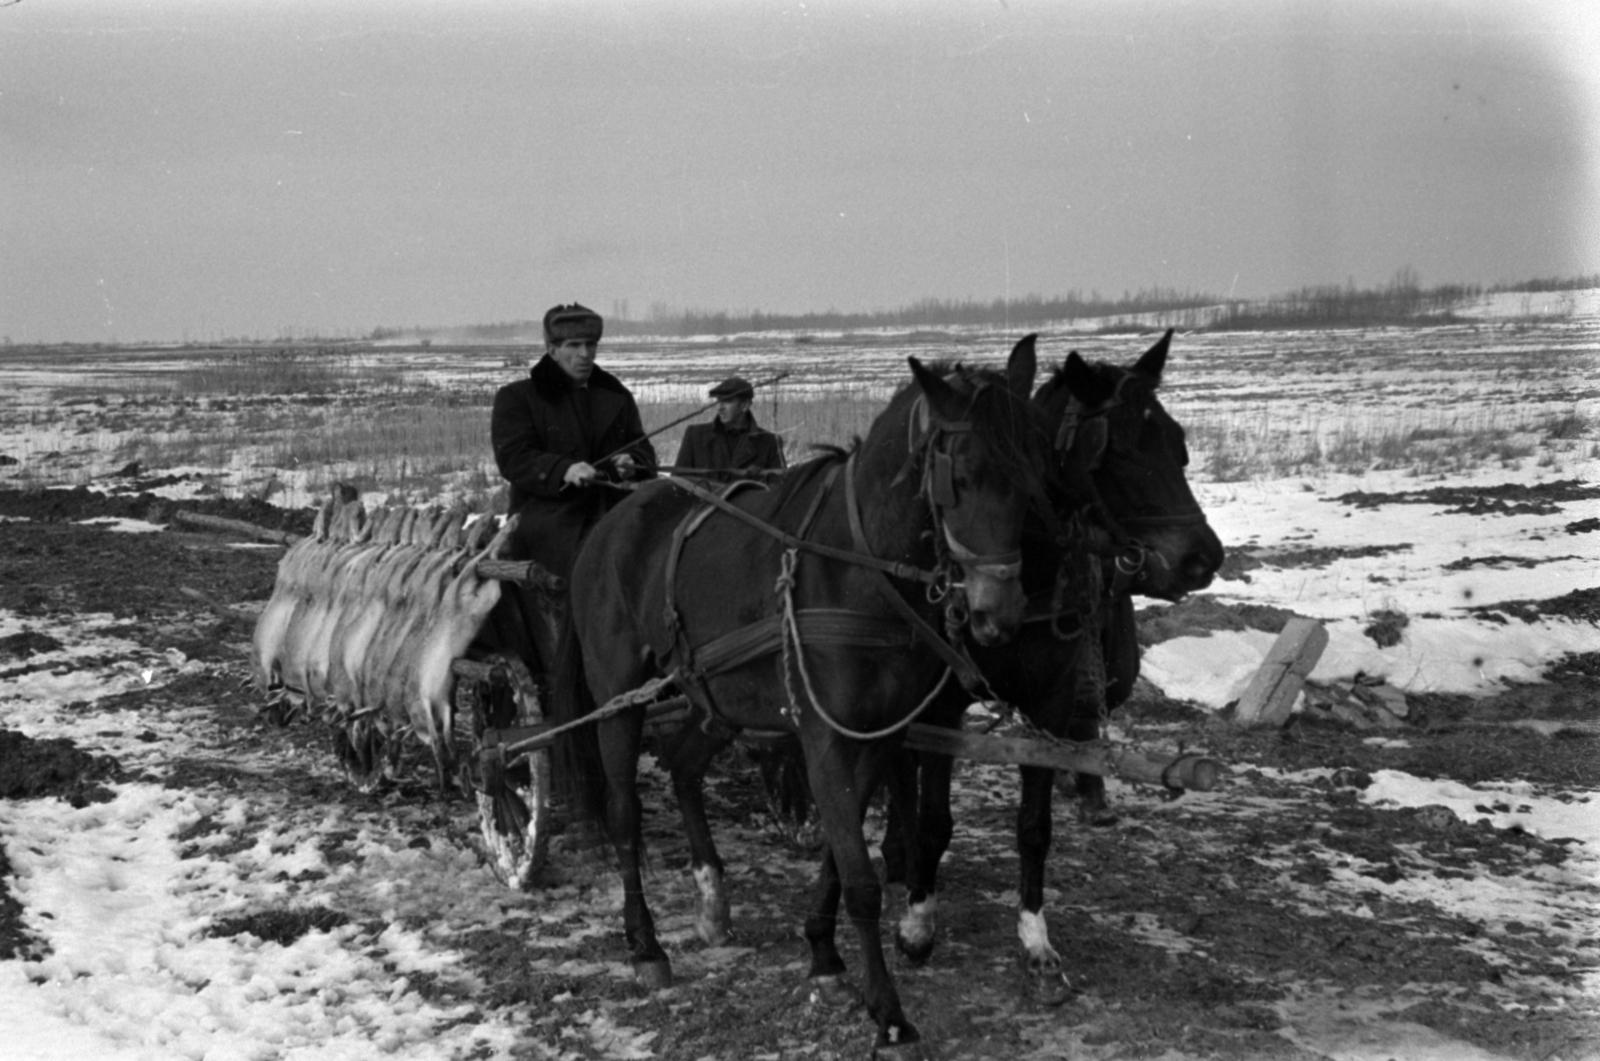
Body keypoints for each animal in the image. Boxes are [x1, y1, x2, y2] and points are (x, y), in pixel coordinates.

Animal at [556, 344, 1056, 1056]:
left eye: (1032, 471)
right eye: (960, 474)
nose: (999, 613)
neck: (857, 566)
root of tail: (611, 521)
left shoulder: (878, 734)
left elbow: (841, 859)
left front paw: (823, 955)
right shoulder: (823, 736)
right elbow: (862, 880)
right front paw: (889, 1014)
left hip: (716, 695)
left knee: (683, 765)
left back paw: (711, 896)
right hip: (619, 698)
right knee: (624, 815)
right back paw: (646, 945)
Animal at [883, 329, 1216, 998]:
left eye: (1177, 444)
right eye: (1115, 452)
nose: (1204, 558)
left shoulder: (1049, 704)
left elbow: (1034, 829)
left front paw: (1035, 940)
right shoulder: (941, 705)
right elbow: (933, 820)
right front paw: (919, 919)